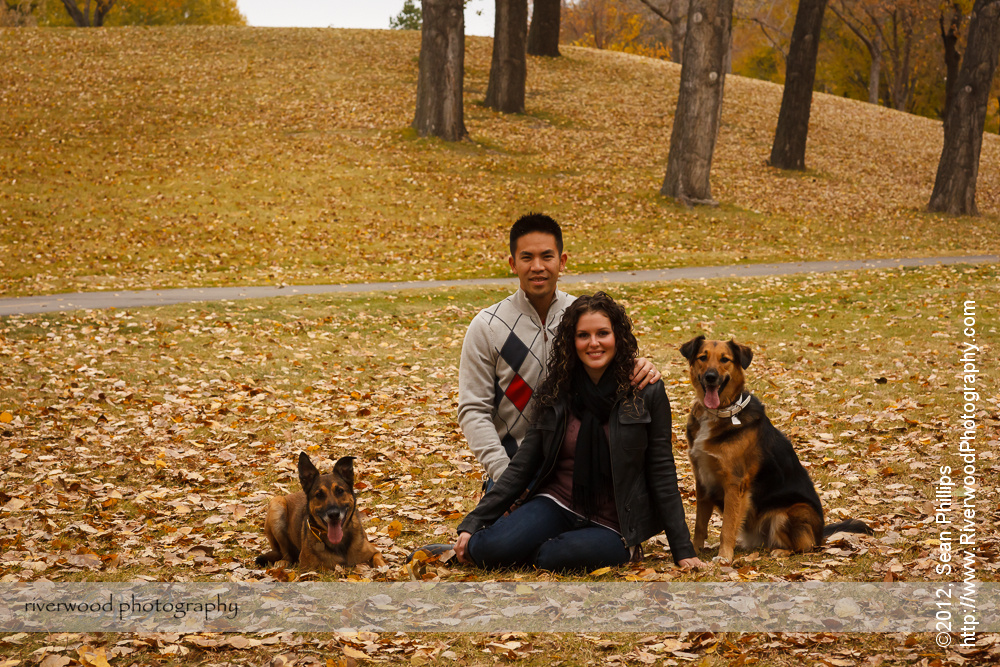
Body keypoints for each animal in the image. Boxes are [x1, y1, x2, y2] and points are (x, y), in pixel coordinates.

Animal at [254, 454, 386, 568]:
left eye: (340, 491)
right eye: (319, 494)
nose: (333, 514)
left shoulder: (374, 553)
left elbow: (380, 562)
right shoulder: (308, 568)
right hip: (276, 505)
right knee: (285, 553)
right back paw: (283, 562)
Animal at [680, 336, 868, 560]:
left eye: (725, 359)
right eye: (703, 357)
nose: (711, 377)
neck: (720, 413)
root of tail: (820, 533)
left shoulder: (734, 484)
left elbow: (727, 527)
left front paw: (724, 557)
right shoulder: (702, 482)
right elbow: (700, 525)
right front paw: (694, 551)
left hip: (788, 513)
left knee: (805, 547)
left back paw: (780, 551)